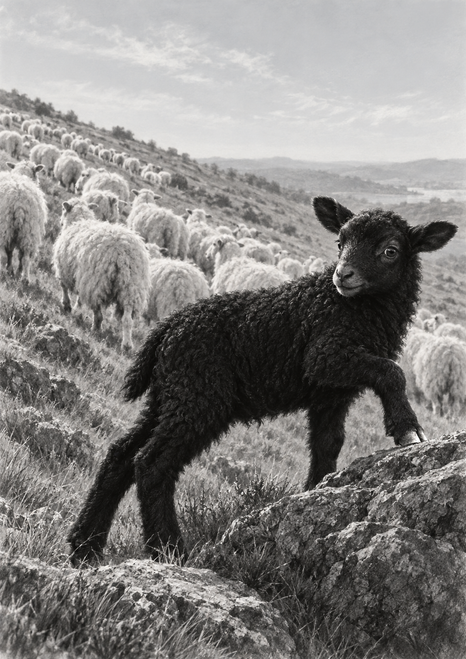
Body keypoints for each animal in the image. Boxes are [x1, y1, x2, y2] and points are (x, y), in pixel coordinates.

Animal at [53, 199, 150, 350]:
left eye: (63, 210)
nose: (60, 222)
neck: (79, 220)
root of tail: (122, 254)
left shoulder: (65, 269)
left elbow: (65, 288)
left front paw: (68, 306)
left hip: (96, 280)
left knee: (97, 311)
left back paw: (95, 327)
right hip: (132, 287)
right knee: (127, 319)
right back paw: (127, 344)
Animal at [68, 198, 457, 563]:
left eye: (390, 250)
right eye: (340, 241)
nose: (343, 276)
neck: (351, 308)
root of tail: (166, 330)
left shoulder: (330, 392)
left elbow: (327, 446)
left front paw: (314, 494)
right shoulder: (326, 356)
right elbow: (393, 373)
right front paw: (407, 429)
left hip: (170, 394)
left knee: (121, 455)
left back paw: (85, 547)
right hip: (199, 394)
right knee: (151, 464)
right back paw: (168, 549)